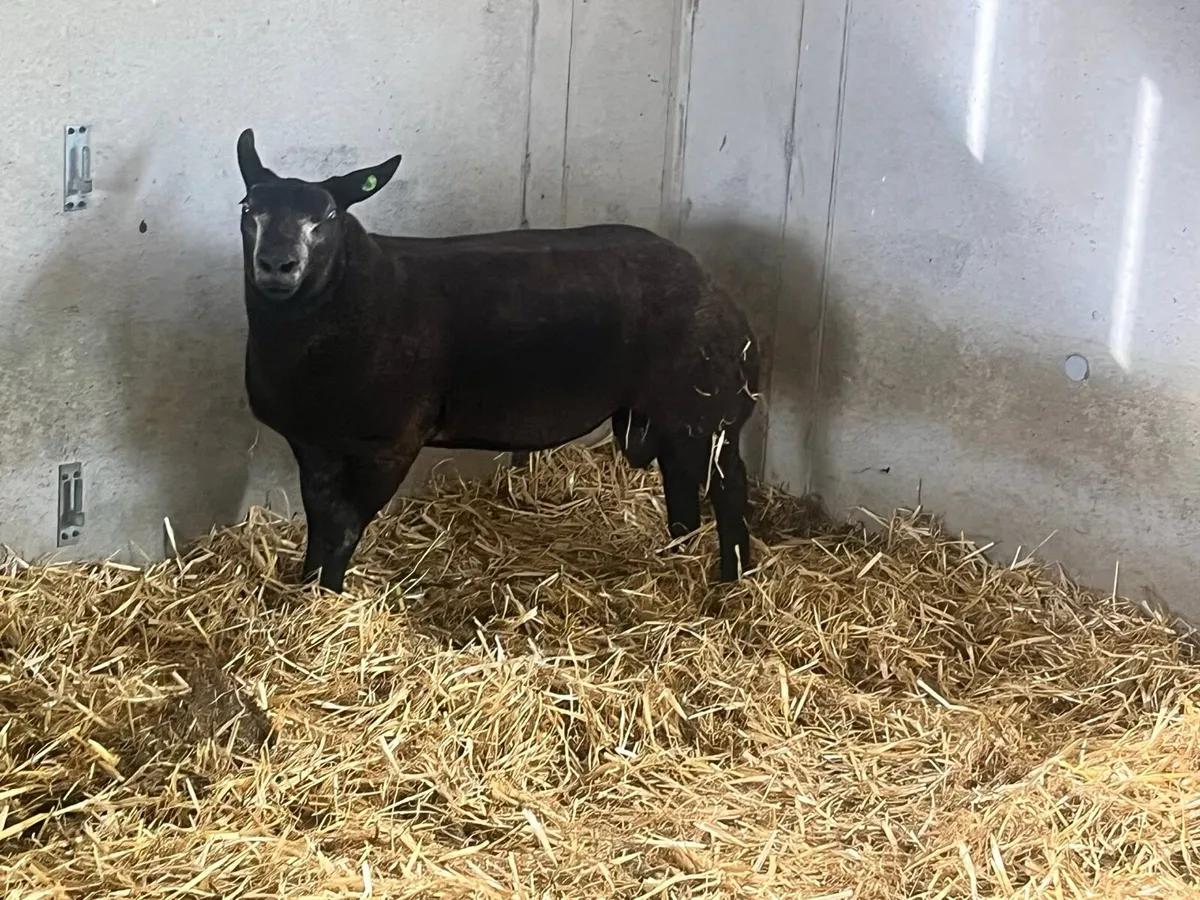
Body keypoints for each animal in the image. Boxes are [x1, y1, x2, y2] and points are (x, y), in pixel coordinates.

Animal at [234, 128, 762, 605]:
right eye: (247, 209)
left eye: (325, 217)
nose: (277, 264)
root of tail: (709, 280)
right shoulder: (313, 443)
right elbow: (321, 523)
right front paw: (306, 589)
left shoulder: (389, 443)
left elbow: (342, 528)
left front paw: (326, 599)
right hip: (669, 412)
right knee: (682, 480)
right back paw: (679, 550)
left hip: (709, 407)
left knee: (729, 487)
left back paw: (733, 579)